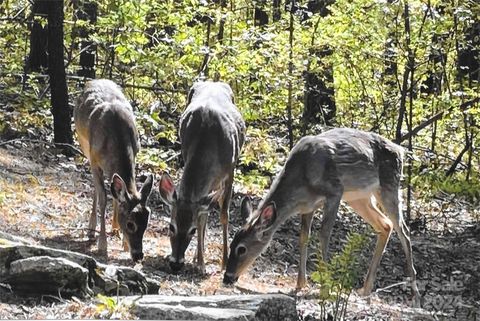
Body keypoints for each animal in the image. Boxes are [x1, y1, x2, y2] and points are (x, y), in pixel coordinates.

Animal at [74, 79, 153, 262]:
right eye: (130, 224)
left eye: (146, 224)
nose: (138, 255)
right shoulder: (95, 160)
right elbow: (103, 197)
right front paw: (102, 244)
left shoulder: (135, 153)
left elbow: (118, 193)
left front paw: (124, 242)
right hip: (85, 148)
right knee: (97, 189)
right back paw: (91, 229)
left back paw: (114, 227)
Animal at [159, 80, 246, 272]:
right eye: (171, 226)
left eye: (191, 230)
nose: (176, 263)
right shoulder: (185, 153)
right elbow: (202, 216)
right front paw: (200, 261)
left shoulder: (230, 170)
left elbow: (223, 214)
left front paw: (223, 262)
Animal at [224, 127, 420, 304]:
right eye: (231, 244)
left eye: (241, 249)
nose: (227, 277)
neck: (301, 179)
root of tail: (400, 150)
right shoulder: (307, 206)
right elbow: (303, 237)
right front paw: (300, 284)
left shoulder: (335, 191)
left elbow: (324, 235)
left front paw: (324, 289)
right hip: (359, 197)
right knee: (385, 224)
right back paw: (365, 289)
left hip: (388, 185)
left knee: (403, 230)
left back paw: (415, 294)